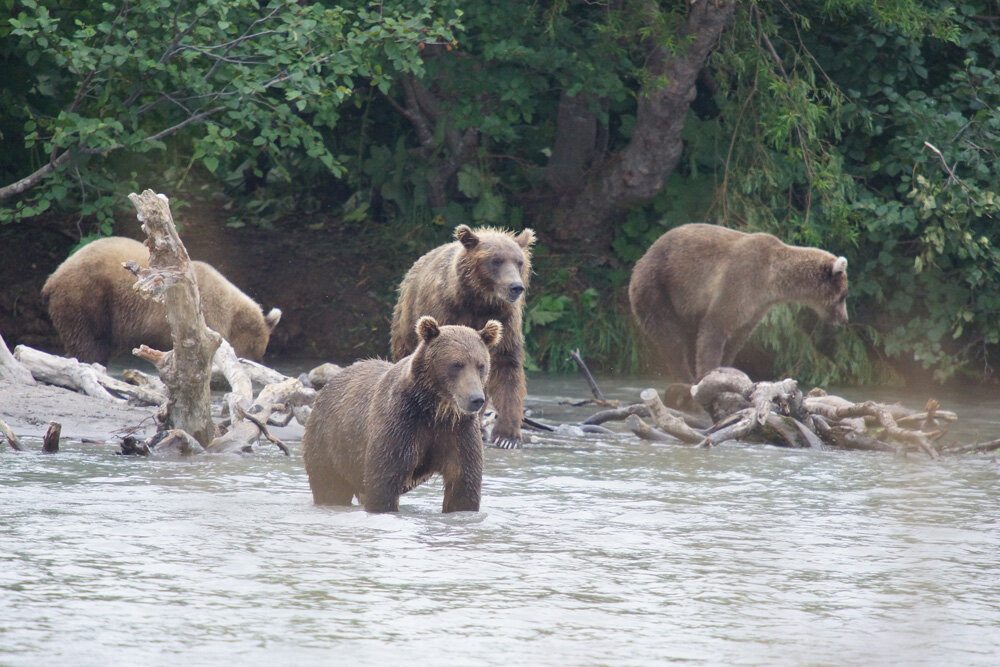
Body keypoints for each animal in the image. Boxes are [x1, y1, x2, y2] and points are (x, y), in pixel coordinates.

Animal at [40, 236, 280, 366]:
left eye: (261, 351)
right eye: (255, 350)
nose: (259, 361)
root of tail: (52, 278)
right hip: (88, 296)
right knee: (88, 340)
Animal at [302, 316, 504, 516]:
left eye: (481, 365)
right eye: (456, 364)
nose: (476, 399)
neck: (434, 409)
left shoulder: (458, 431)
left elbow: (463, 485)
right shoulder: (401, 423)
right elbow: (384, 481)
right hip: (328, 443)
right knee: (329, 486)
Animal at [386, 223, 536, 448]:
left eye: (519, 262)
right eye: (496, 260)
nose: (516, 287)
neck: (480, 301)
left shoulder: (505, 321)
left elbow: (507, 366)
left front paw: (507, 437)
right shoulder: (445, 311)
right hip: (406, 318)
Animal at [628, 223, 848, 380]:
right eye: (844, 295)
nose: (844, 319)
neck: (773, 280)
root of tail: (643, 257)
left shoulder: (758, 305)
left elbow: (737, 337)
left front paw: (725, 368)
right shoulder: (741, 279)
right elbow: (715, 327)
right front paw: (708, 373)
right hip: (658, 287)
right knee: (670, 337)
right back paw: (685, 376)